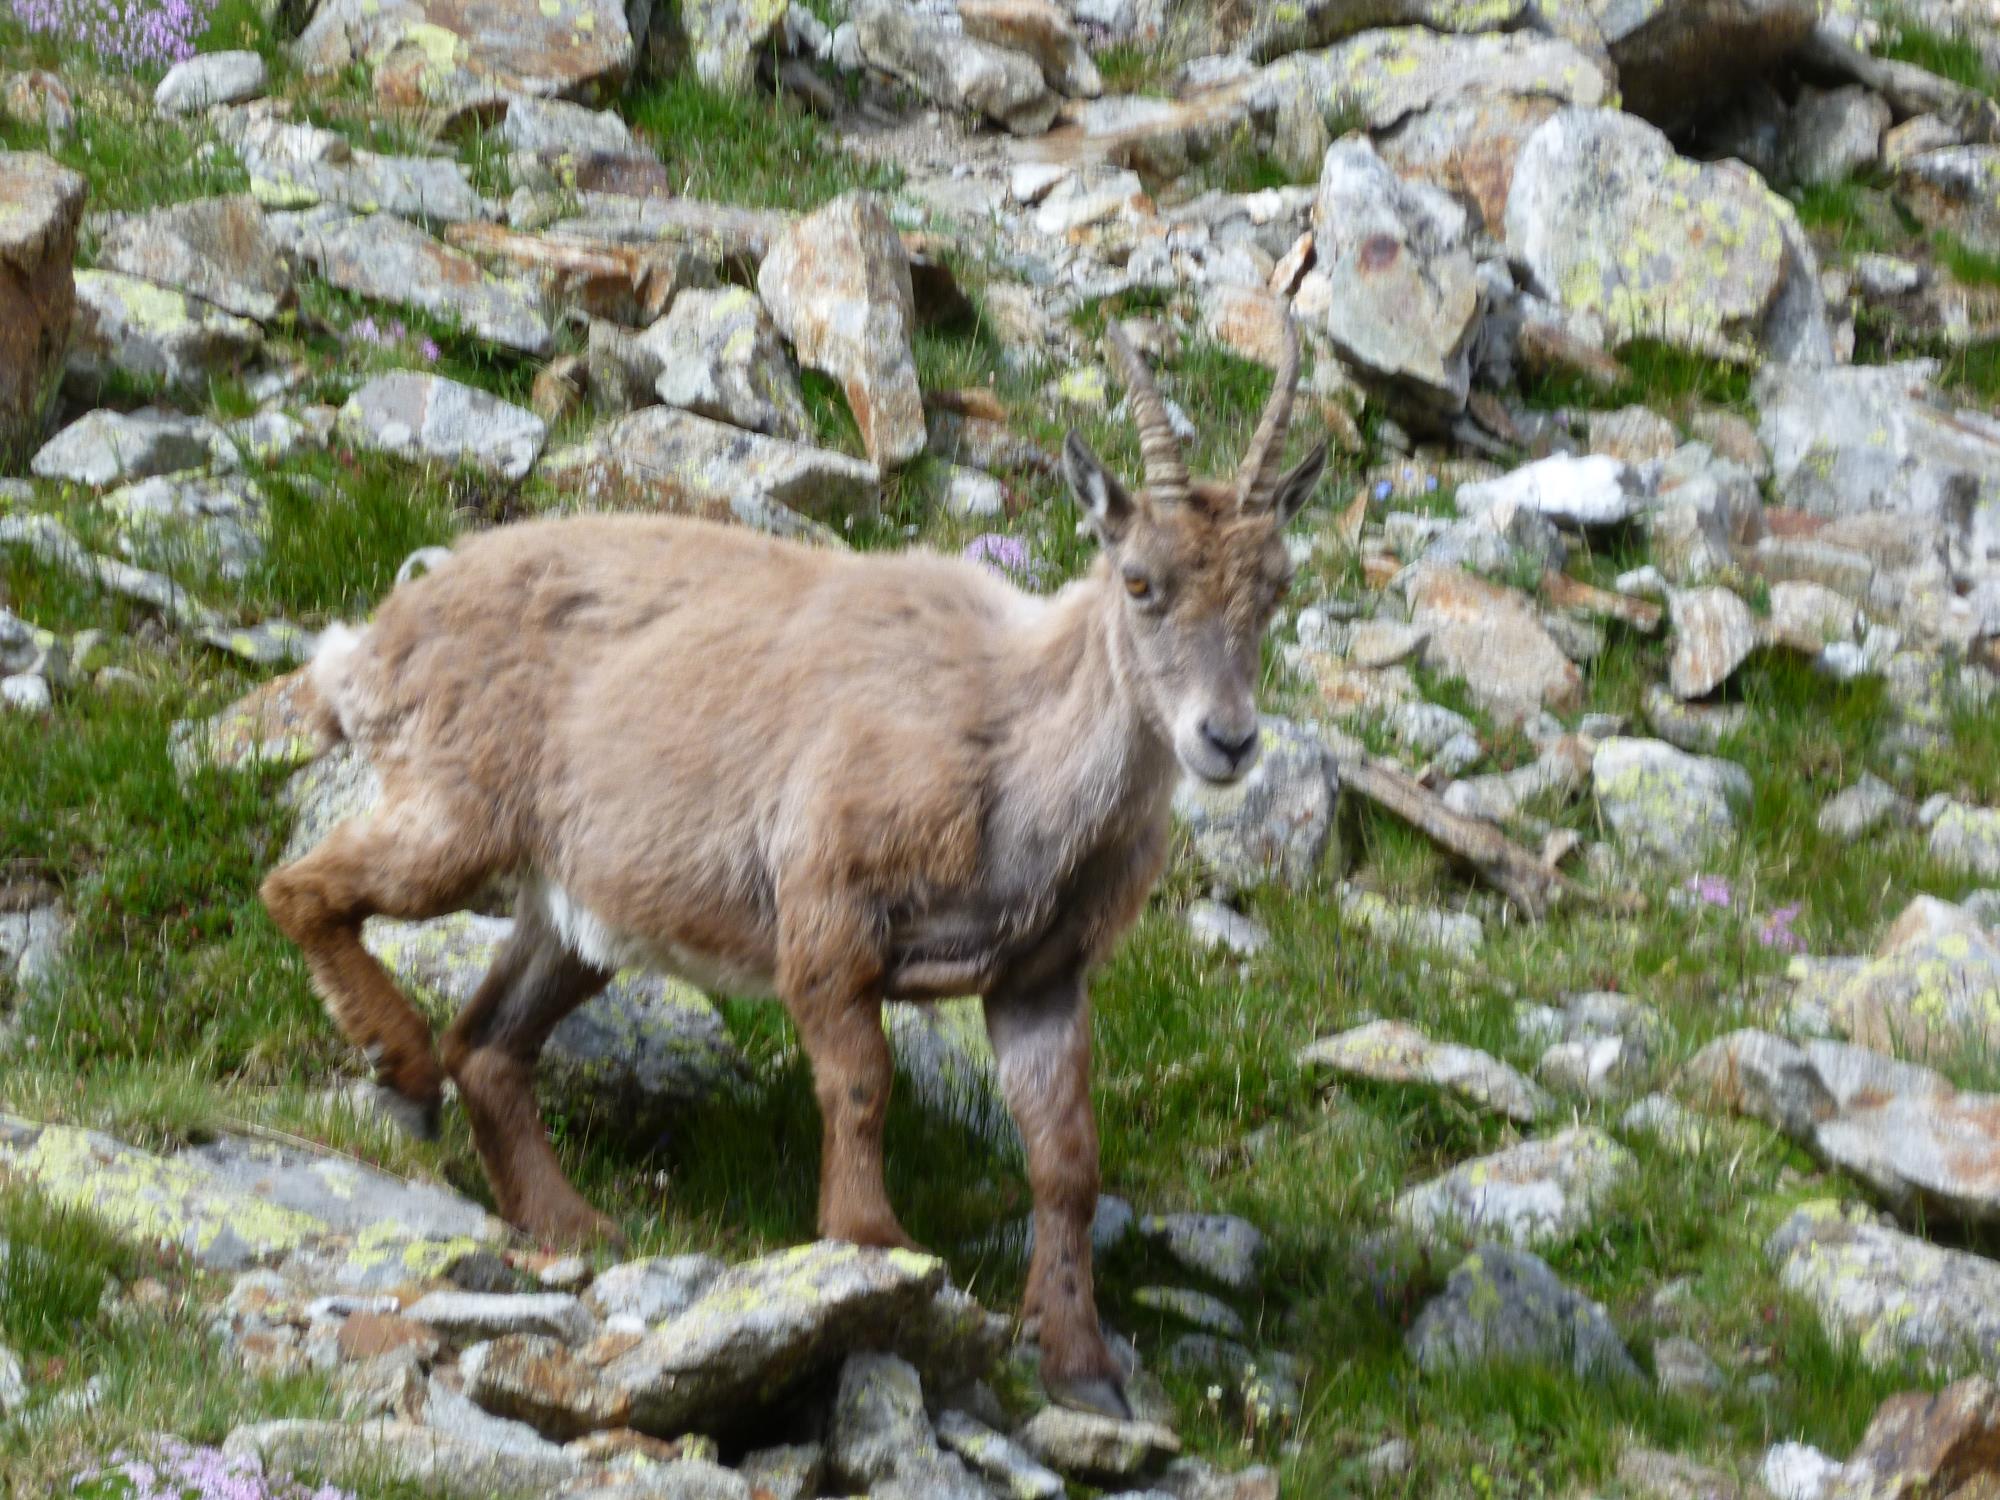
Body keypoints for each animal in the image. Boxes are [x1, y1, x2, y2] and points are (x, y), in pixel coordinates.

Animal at [260, 314, 1326, 1419]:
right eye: (1139, 581)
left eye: (1276, 586)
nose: (1227, 740)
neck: (1011, 744)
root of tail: (372, 641)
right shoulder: (827, 912)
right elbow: (860, 1082)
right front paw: (870, 1245)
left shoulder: (1039, 976)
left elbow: (1066, 1160)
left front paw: (1081, 1362)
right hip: (456, 818)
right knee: (304, 891)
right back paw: (401, 1068)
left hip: (583, 915)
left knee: (489, 1041)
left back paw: (570, 1221)